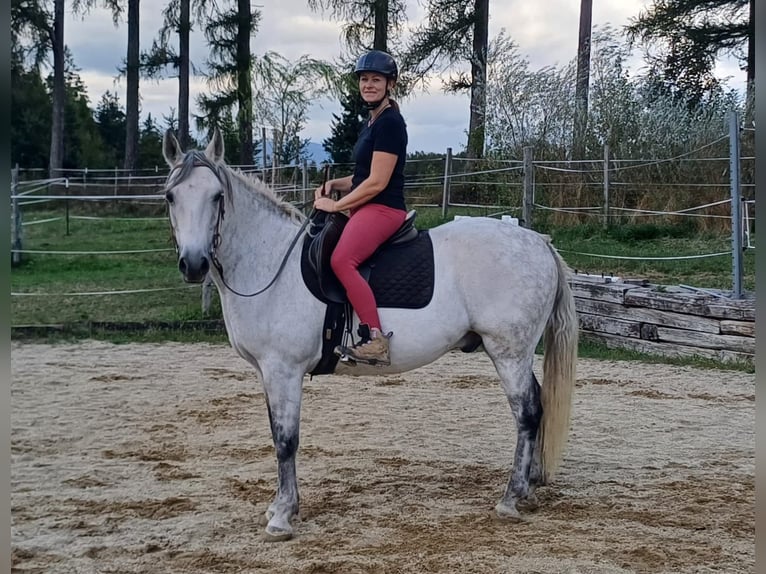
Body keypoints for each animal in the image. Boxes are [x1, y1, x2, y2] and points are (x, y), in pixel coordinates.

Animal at [165, 128, 580, 544]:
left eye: (217, 196)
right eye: (170, 196)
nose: (193, 264)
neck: (269, 262)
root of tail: (539, 243)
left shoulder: (283, 369)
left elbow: (286, 440)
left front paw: (282, 515)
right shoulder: (267, 373)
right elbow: (277, 435)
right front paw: (280, 505)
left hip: (508, 352)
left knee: (527, 413)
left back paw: (511, 497)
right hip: (518, 354)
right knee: (538, 406)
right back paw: (528, 487)